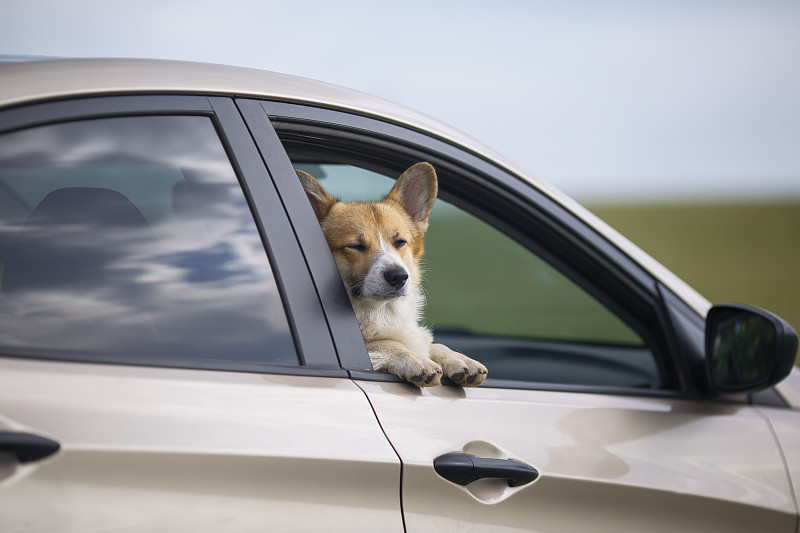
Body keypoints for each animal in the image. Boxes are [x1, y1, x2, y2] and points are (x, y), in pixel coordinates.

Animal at [296, 162, 488, 386]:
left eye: (400, 242)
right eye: (356, 246)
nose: (399, 276)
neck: (382, 312)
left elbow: (431, 344)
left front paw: (458, 359)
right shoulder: (373, 345)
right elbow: (386, 343)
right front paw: (415, 359)